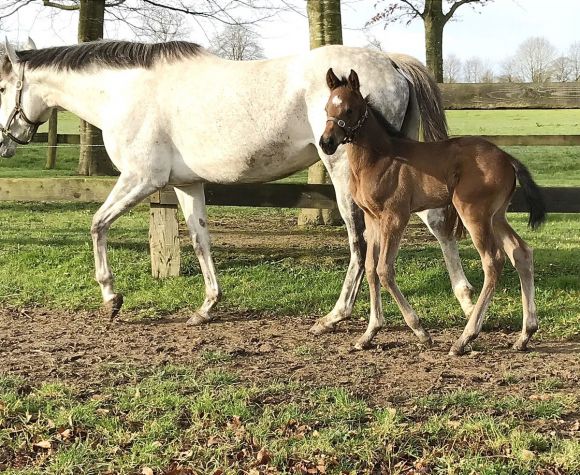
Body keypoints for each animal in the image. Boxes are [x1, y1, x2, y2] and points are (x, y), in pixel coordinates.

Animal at [0, 40, 476, 346]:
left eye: (3, 87)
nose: (7, 140)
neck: (126, 93)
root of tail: (391, 62)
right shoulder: (186, 185)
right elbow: (200, 242)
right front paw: (207, 307)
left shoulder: (141, 179)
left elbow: (97, 225)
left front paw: (111, 300)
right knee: (435, 223)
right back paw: (466, 303)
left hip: (349, 177)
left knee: (360, 243)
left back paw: (337, 317)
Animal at [320, 69, 548, 356]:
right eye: (326, 108)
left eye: (349, 110)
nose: (326, 143)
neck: (378, 159)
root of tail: (507, 157)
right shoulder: (372, 219)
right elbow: (371, 269)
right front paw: (369, 334)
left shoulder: (396, 216)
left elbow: (384, 269)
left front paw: (420, 331)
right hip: (496, 215)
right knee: (521, 252)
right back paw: (525, 335)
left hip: (474, 212)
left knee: (493, 260)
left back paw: (465, 339)